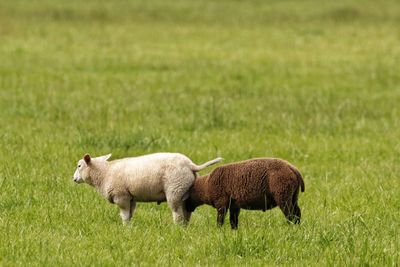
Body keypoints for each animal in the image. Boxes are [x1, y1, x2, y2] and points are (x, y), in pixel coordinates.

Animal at [72, 154, 222, 225]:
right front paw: (130, 228)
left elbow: (124, 215)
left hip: (174, 190)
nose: (74, 179)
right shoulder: (130, 197)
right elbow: (130, 214)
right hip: (184, 191)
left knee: (177, 214)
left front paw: (125, 229)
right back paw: (185, 228)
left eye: (79, 166)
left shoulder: (121, 196)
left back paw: (177, 229)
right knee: (186, 213)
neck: (104, 172)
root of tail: (191, 165)